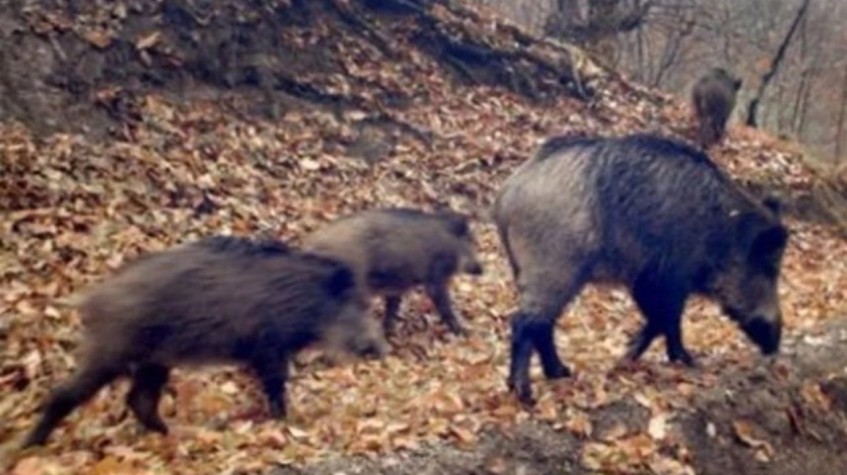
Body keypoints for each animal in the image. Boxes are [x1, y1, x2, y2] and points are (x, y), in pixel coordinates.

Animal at [21, 235, 387, 448]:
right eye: (355, 303)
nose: (380, 349)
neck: (305, 300)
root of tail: (91, 299)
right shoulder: (269, 347)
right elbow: (276, 383)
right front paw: (286, 422)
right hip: (113, 350)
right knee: (65, 394)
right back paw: (29, 446)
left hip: (155, 362)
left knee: (140, 400)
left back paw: (173, 435)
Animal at [302, 208, 484, 337]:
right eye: (471, 241)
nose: (481, 269)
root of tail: (310, 245)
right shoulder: (435, 277)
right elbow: (444, 304)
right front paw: (464, 332)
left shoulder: (396, 287)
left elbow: (392, 308)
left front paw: (389, 333)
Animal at [493, 133, 789, 404]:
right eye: (770, 268)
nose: (775, 347)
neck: (723, 236)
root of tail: (507, 192)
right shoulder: (666, 278)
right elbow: (668, 319)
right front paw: (687, 360)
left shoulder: (646, 281)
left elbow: (661, 320)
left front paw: (627, 357)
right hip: (554, 268)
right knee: (525, 322)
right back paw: (525, 394)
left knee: (543, 325)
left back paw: (561, 372)